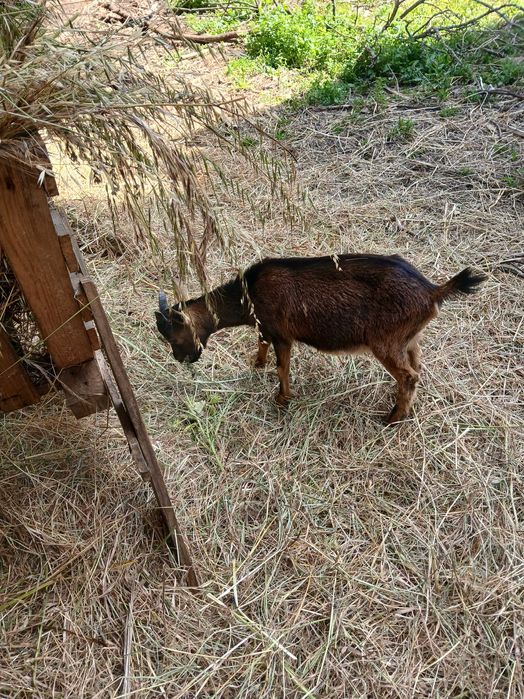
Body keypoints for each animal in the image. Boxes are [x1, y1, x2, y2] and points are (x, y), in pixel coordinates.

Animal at [156, 254, 486, 424]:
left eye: (174, 336)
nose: (181, 358)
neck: (248, 292)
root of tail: (433, 291)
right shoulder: (265, 327)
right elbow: (261, 344)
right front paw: (257, 364)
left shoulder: (282, 333)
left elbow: (282, 367)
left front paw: (282, 400)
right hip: (408, 337)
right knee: (417, 364)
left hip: (385, 341)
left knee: (408, 375)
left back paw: (393, 418)